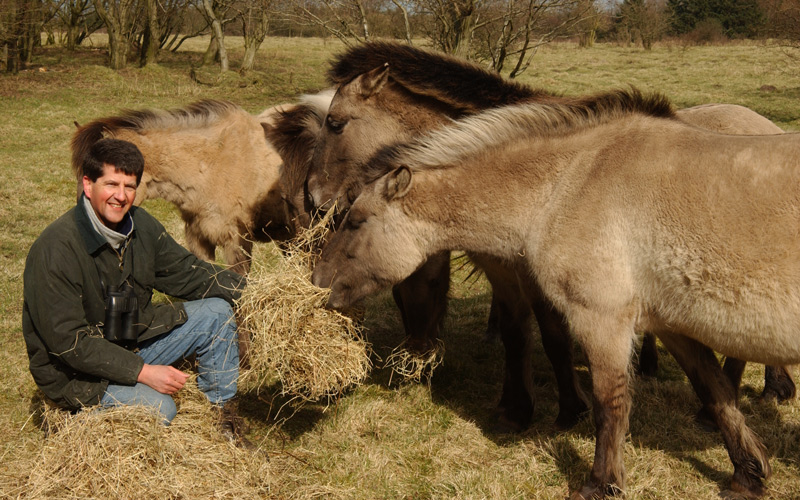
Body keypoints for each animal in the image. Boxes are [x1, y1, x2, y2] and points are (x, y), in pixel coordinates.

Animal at [270, 40, 792, 430]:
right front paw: (516, 407)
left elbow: (553, 336)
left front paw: (566, 408)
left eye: (336, 122)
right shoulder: (505, 272)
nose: (314, 197)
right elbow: (517, 332)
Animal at [310, 88, 800, 498]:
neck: (570, 183)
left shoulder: (602, 319)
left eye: (356, 221)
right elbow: (716, 393)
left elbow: (610, 404)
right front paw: (748, 474)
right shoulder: (668, 324)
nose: (317, 283)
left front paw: (600, 483)